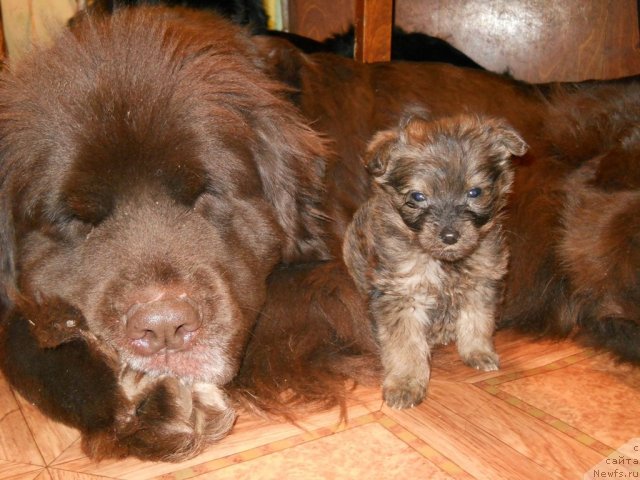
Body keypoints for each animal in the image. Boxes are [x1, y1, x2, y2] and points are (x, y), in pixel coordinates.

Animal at [342, 114, 528, 406]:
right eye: (418, 197)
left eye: (474, 193)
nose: (450, 235)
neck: (444, 264)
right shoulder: (401, 296)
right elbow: (405, 345)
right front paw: (405, 383)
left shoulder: (482, 283)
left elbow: (478, 320)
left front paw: (477, 351)